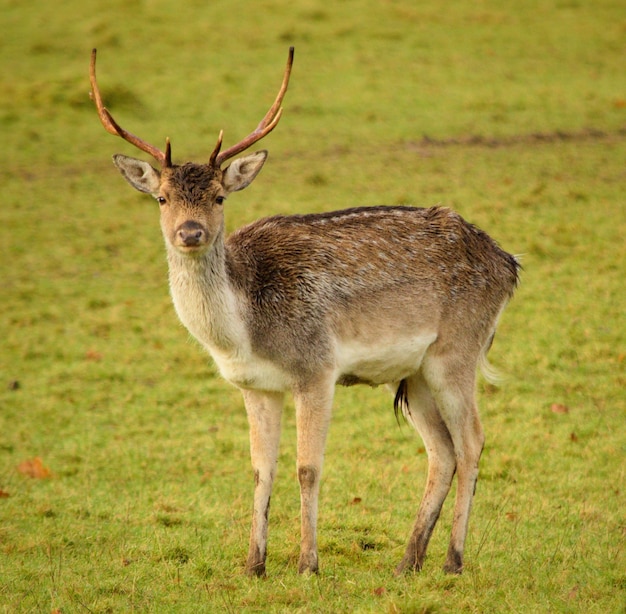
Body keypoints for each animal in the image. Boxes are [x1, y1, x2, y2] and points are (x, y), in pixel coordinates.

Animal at [88, 47, 516, 576]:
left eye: (219, 196)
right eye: (161, 198)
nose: (190, 231)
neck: (246, 330)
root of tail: (508, 263)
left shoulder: (316, 368)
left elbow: (308, 468)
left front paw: (307, 563)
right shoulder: (254, 386)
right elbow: (260, 470)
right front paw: (254, 564)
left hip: (457, 350)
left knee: (473, 440)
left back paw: (453, 561)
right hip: (412, 372)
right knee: (442, 450)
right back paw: (407, 562)